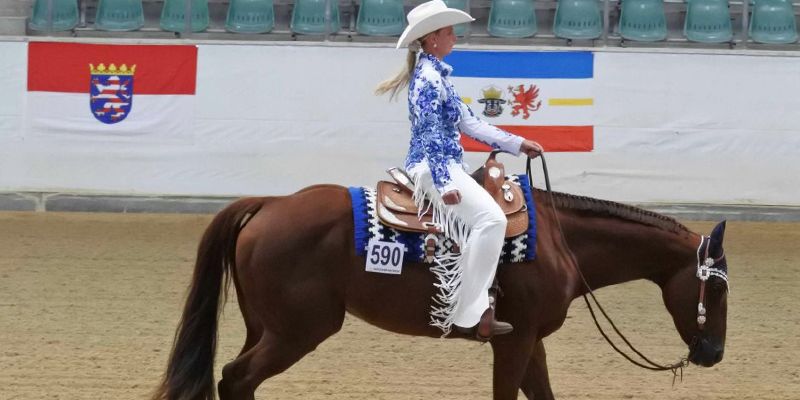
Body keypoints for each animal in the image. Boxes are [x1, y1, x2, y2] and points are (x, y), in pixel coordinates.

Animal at [150, 179, 732, 400]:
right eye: (719, 292)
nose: (713, 354)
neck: (560, 240)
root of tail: (270, 204)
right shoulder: (512, 341)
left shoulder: (529, 340)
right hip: (297, 332)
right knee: (236, 378)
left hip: (266, 327)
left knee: (236, 378)